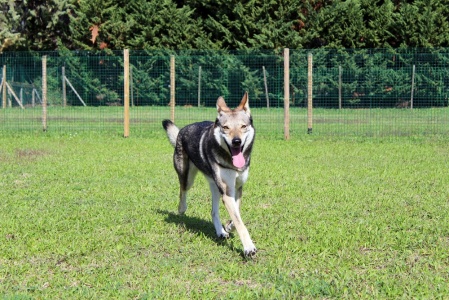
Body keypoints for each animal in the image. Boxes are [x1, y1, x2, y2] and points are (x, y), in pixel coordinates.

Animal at [162, 91, 256, 255]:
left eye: (243, 126)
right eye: (226, 127)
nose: (236, 141)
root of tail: (181, 131)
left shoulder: (237, 188)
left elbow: (237, 213)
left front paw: (229, 226)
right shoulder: (227, 191)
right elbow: (240, 223)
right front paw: (249, 247)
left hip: (215, 187)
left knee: (213, 212)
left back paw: (221, 232)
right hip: (188, 179)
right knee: (182, 191)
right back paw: (181, 209)